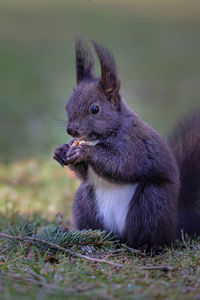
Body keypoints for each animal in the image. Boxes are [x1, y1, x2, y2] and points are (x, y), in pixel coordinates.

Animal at [53, 38, 200, 252]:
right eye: (67, 106)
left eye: (95, 109)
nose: (71, 131)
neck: (99, 137)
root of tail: (174, 227)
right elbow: (84, 174)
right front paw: (62, 150)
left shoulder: (133, 144)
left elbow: (121, 165)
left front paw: (83, 151)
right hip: (84, 204)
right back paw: (88, 239)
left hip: (151, 202)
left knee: (148, 234)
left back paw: (149, 247)